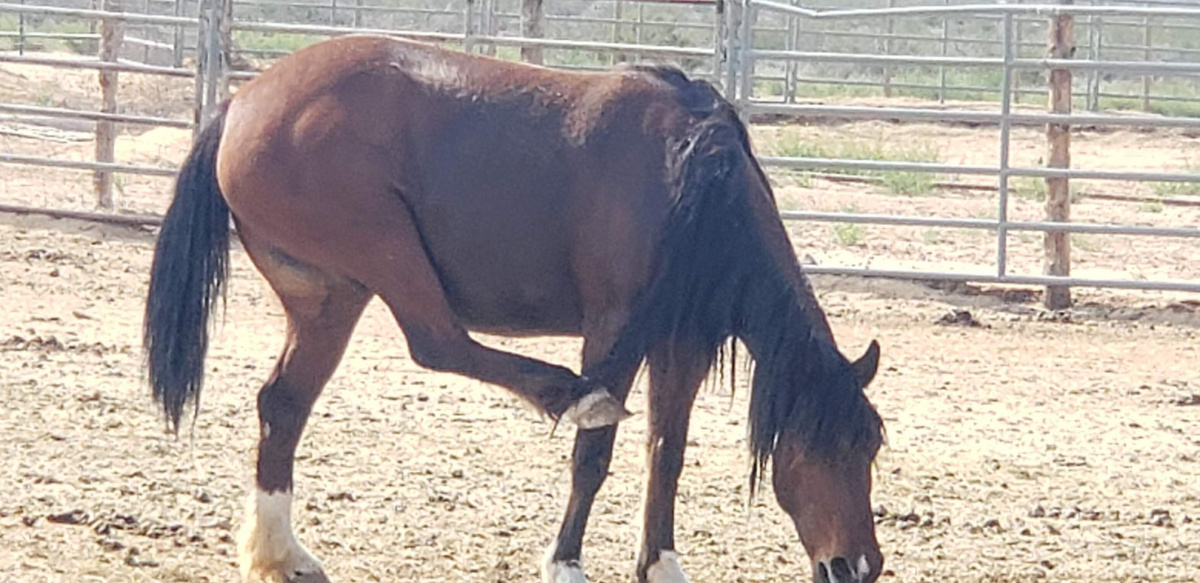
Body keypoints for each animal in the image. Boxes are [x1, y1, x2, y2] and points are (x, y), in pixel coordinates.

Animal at [145, 35, 888, 583]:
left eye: (870, 445)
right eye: (823, 445)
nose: (858, 566)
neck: (691, 181)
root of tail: (241, 101)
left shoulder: (681, 342)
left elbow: (666, 452)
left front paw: (662, 564)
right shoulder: (613, 329)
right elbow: (595, 456)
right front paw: (565, 562)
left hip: (328, 295)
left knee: (284, 404)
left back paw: (284, 555)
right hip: (380, 250)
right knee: (435, 340)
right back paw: (571, 395)